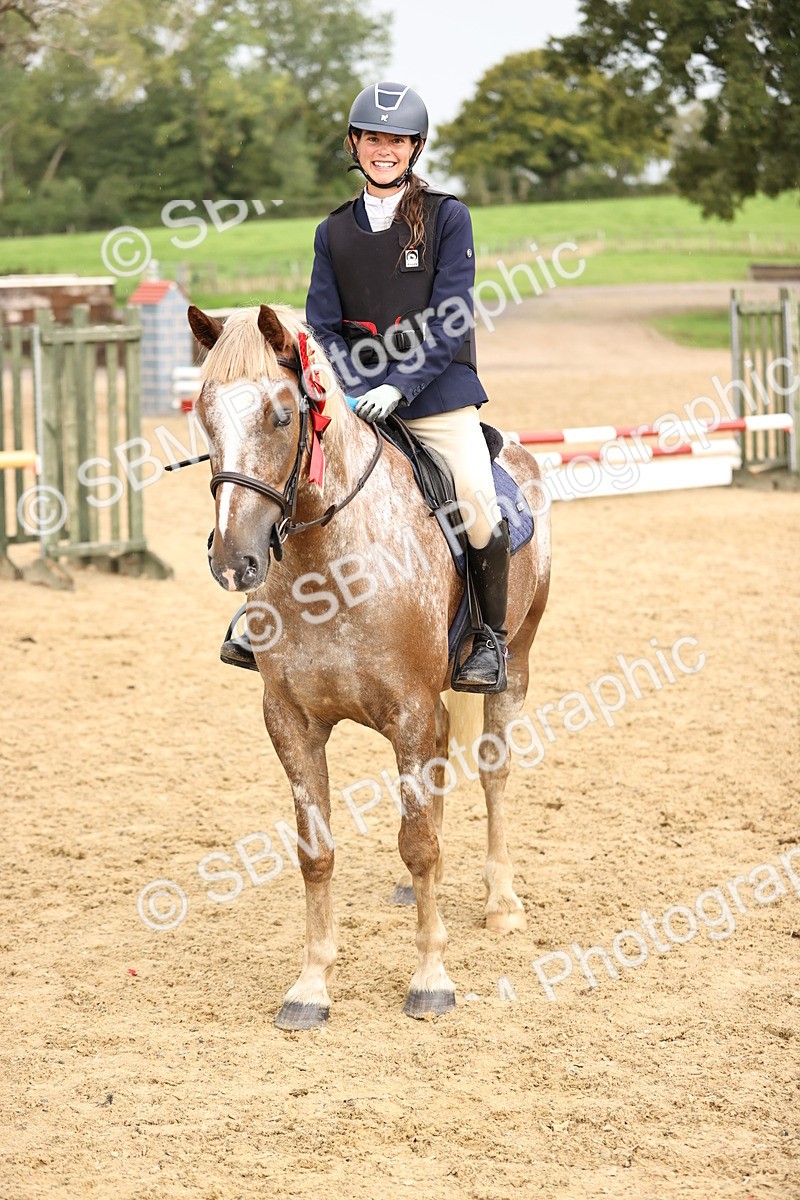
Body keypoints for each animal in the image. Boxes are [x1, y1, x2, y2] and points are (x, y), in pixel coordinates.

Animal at [187, 302, 551, 1029]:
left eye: (282, 416)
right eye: (205, 416)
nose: (234, 561)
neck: (329, 564)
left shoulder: (409, 713)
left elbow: (417, 844)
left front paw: (431, 978)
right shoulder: (291, 722)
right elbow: (316, 851)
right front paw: (310, 986)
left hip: (516, 662)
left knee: (493, 775)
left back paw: (501, 903)